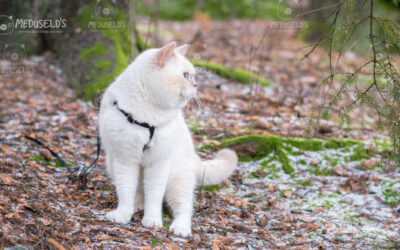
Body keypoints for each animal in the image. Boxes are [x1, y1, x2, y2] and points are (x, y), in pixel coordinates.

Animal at [99, 41, 238, 236]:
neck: (148, 115)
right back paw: (137, 206)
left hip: (177, 182)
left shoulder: (159, 163)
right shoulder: (125, 160)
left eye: (193, 76)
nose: (196, 85)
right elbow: (126, 191)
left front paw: (152, 221)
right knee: (139, 193)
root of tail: (193, 157)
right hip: (112, 164)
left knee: (184, 209)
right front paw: (123, 215)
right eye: (186, 75)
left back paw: (180, 229)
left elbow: (154, 196)